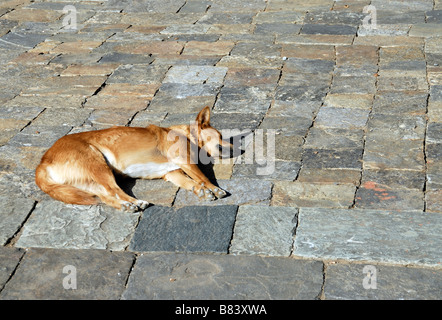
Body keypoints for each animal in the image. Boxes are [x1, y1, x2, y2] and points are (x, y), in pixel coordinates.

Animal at [36, 107, 233, 211]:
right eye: (220, 135)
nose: (235, 148)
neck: (186, 135)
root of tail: (43, 161)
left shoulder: (172, 173)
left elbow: (192, 183)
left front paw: (201, 191)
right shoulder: (185, 162)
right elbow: (204, 178)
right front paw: (215, 189)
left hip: (87, 183)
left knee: (106, 196)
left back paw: (126, 206)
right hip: (99, 165)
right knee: (114, 190)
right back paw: (136, 203)